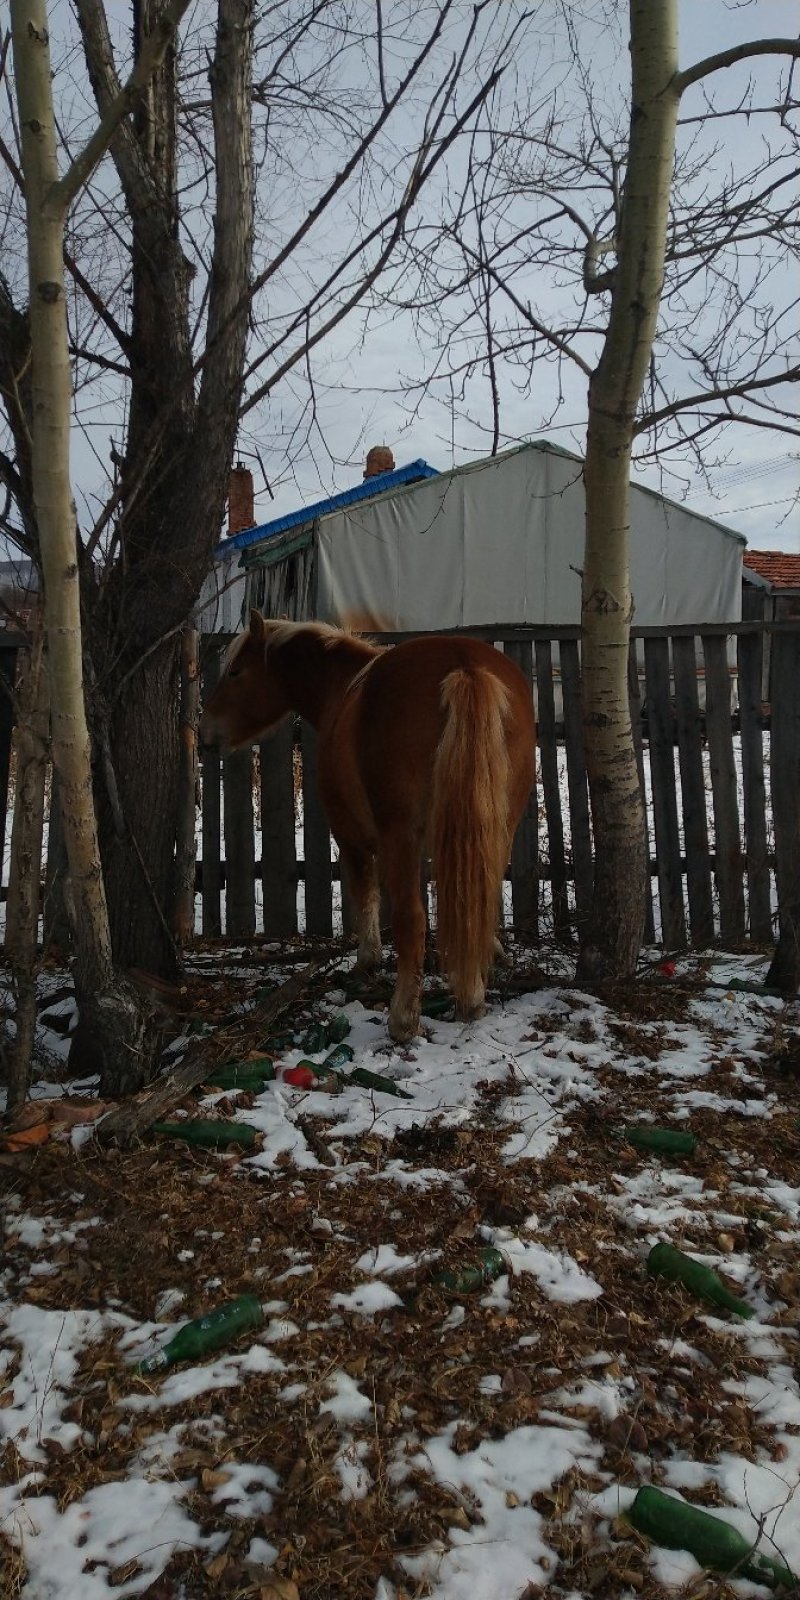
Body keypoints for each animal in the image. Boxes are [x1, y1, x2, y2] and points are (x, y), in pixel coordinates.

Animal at [200, 611, 536, 1044]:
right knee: (481, 894)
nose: (205, 731)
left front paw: (368, 958)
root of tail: (464, 665)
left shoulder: (351, 835)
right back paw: (473, 996)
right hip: (498, 826)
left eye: (236, 672)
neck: (342, 689)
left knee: (412, 919)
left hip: (399, 835)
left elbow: (364, 892)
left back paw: (404, 1017)